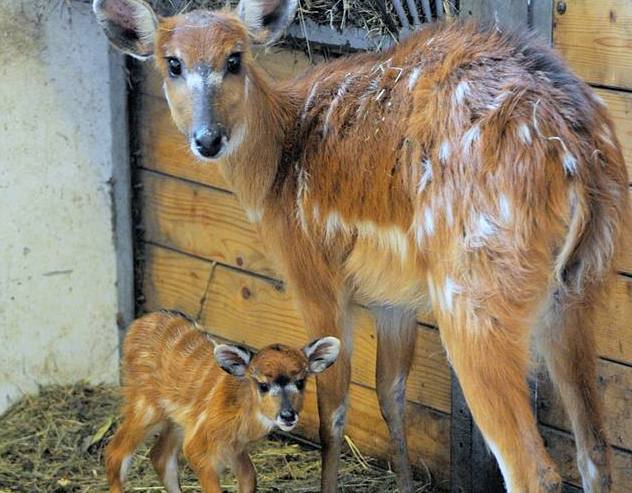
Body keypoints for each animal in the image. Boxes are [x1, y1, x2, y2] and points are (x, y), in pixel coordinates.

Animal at [105, 312, 340, 492]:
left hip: (175, 421)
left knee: (159, 456)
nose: (288, 415)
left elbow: (249, 479)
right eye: (263, 385)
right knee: (115, 453)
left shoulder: (236, 449)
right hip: (145, 406)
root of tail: (137, 325)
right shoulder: (198, 448)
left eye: (300, 381)